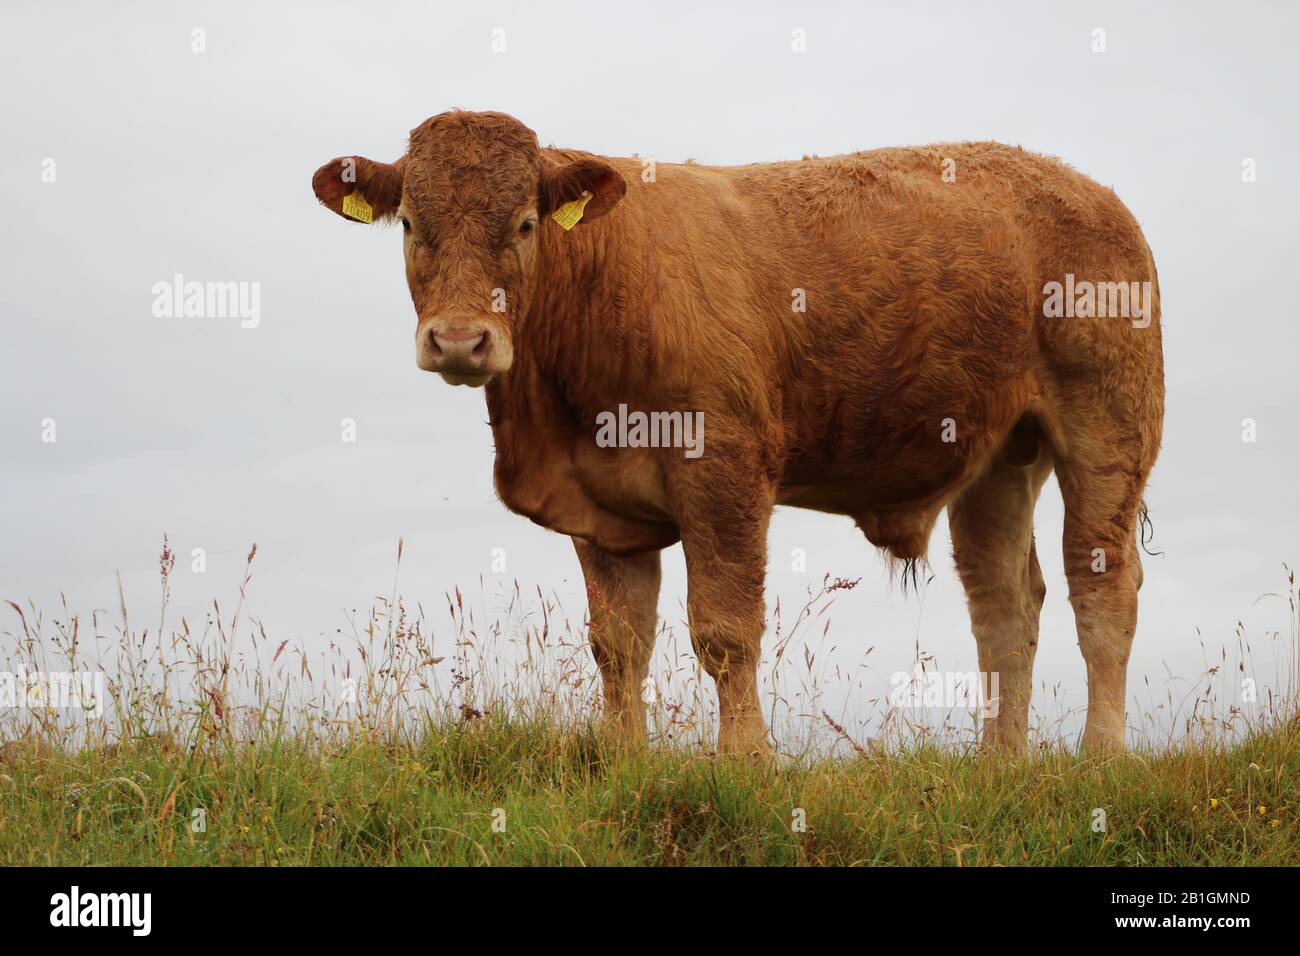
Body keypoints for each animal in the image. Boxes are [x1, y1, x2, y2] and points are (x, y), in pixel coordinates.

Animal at [309, 110, 1164, 754]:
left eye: (523, 224)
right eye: (410, 224)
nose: (459, 342)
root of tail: (1091, 191)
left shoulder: (724, 470)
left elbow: (725, 631)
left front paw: (748, 761)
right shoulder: (600, 507)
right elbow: (618, 645)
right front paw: (624, 762)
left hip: (1108, 429)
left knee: (1103, 592)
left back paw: (1100, 759)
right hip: (999, 459)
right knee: (1005, 604)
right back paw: (1000, 765)